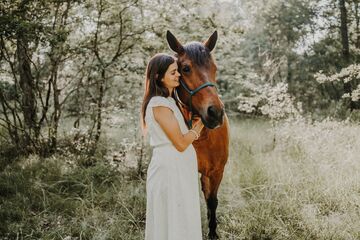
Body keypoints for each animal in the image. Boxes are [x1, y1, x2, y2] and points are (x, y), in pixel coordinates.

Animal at [167, 31, 229, 239]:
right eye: (185, 68)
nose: (215, 113)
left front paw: (213, 232)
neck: (202, 136)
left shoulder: (217, 171)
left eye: (215, 68)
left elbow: (212, 201)